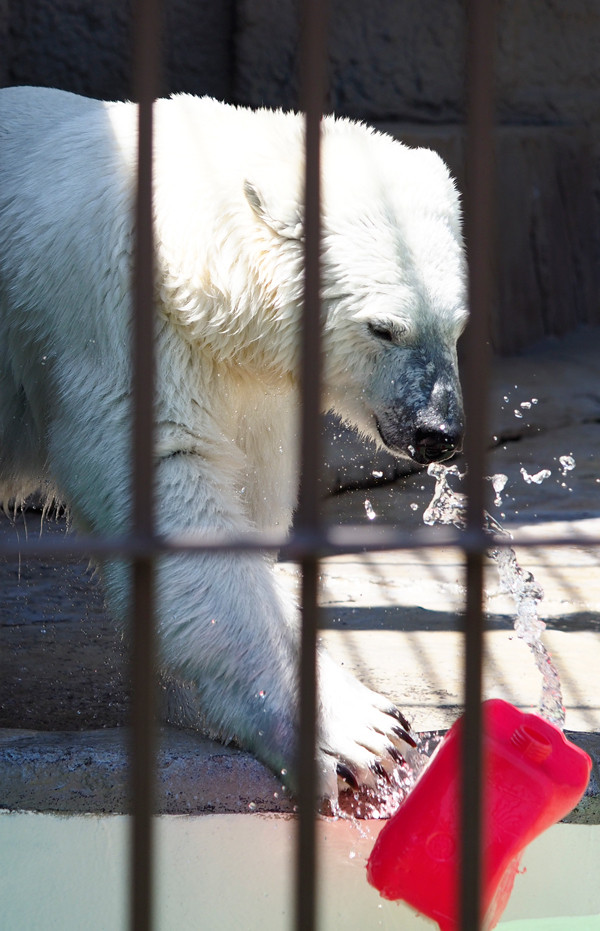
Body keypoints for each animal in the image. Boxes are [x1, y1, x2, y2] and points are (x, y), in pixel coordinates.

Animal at [0, 87, 466, 796]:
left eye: (457, 326)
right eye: (383, 328)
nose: (438, 433)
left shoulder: (249, 384)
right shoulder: (121, 329)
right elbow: (178, 487)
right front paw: (362, 735)